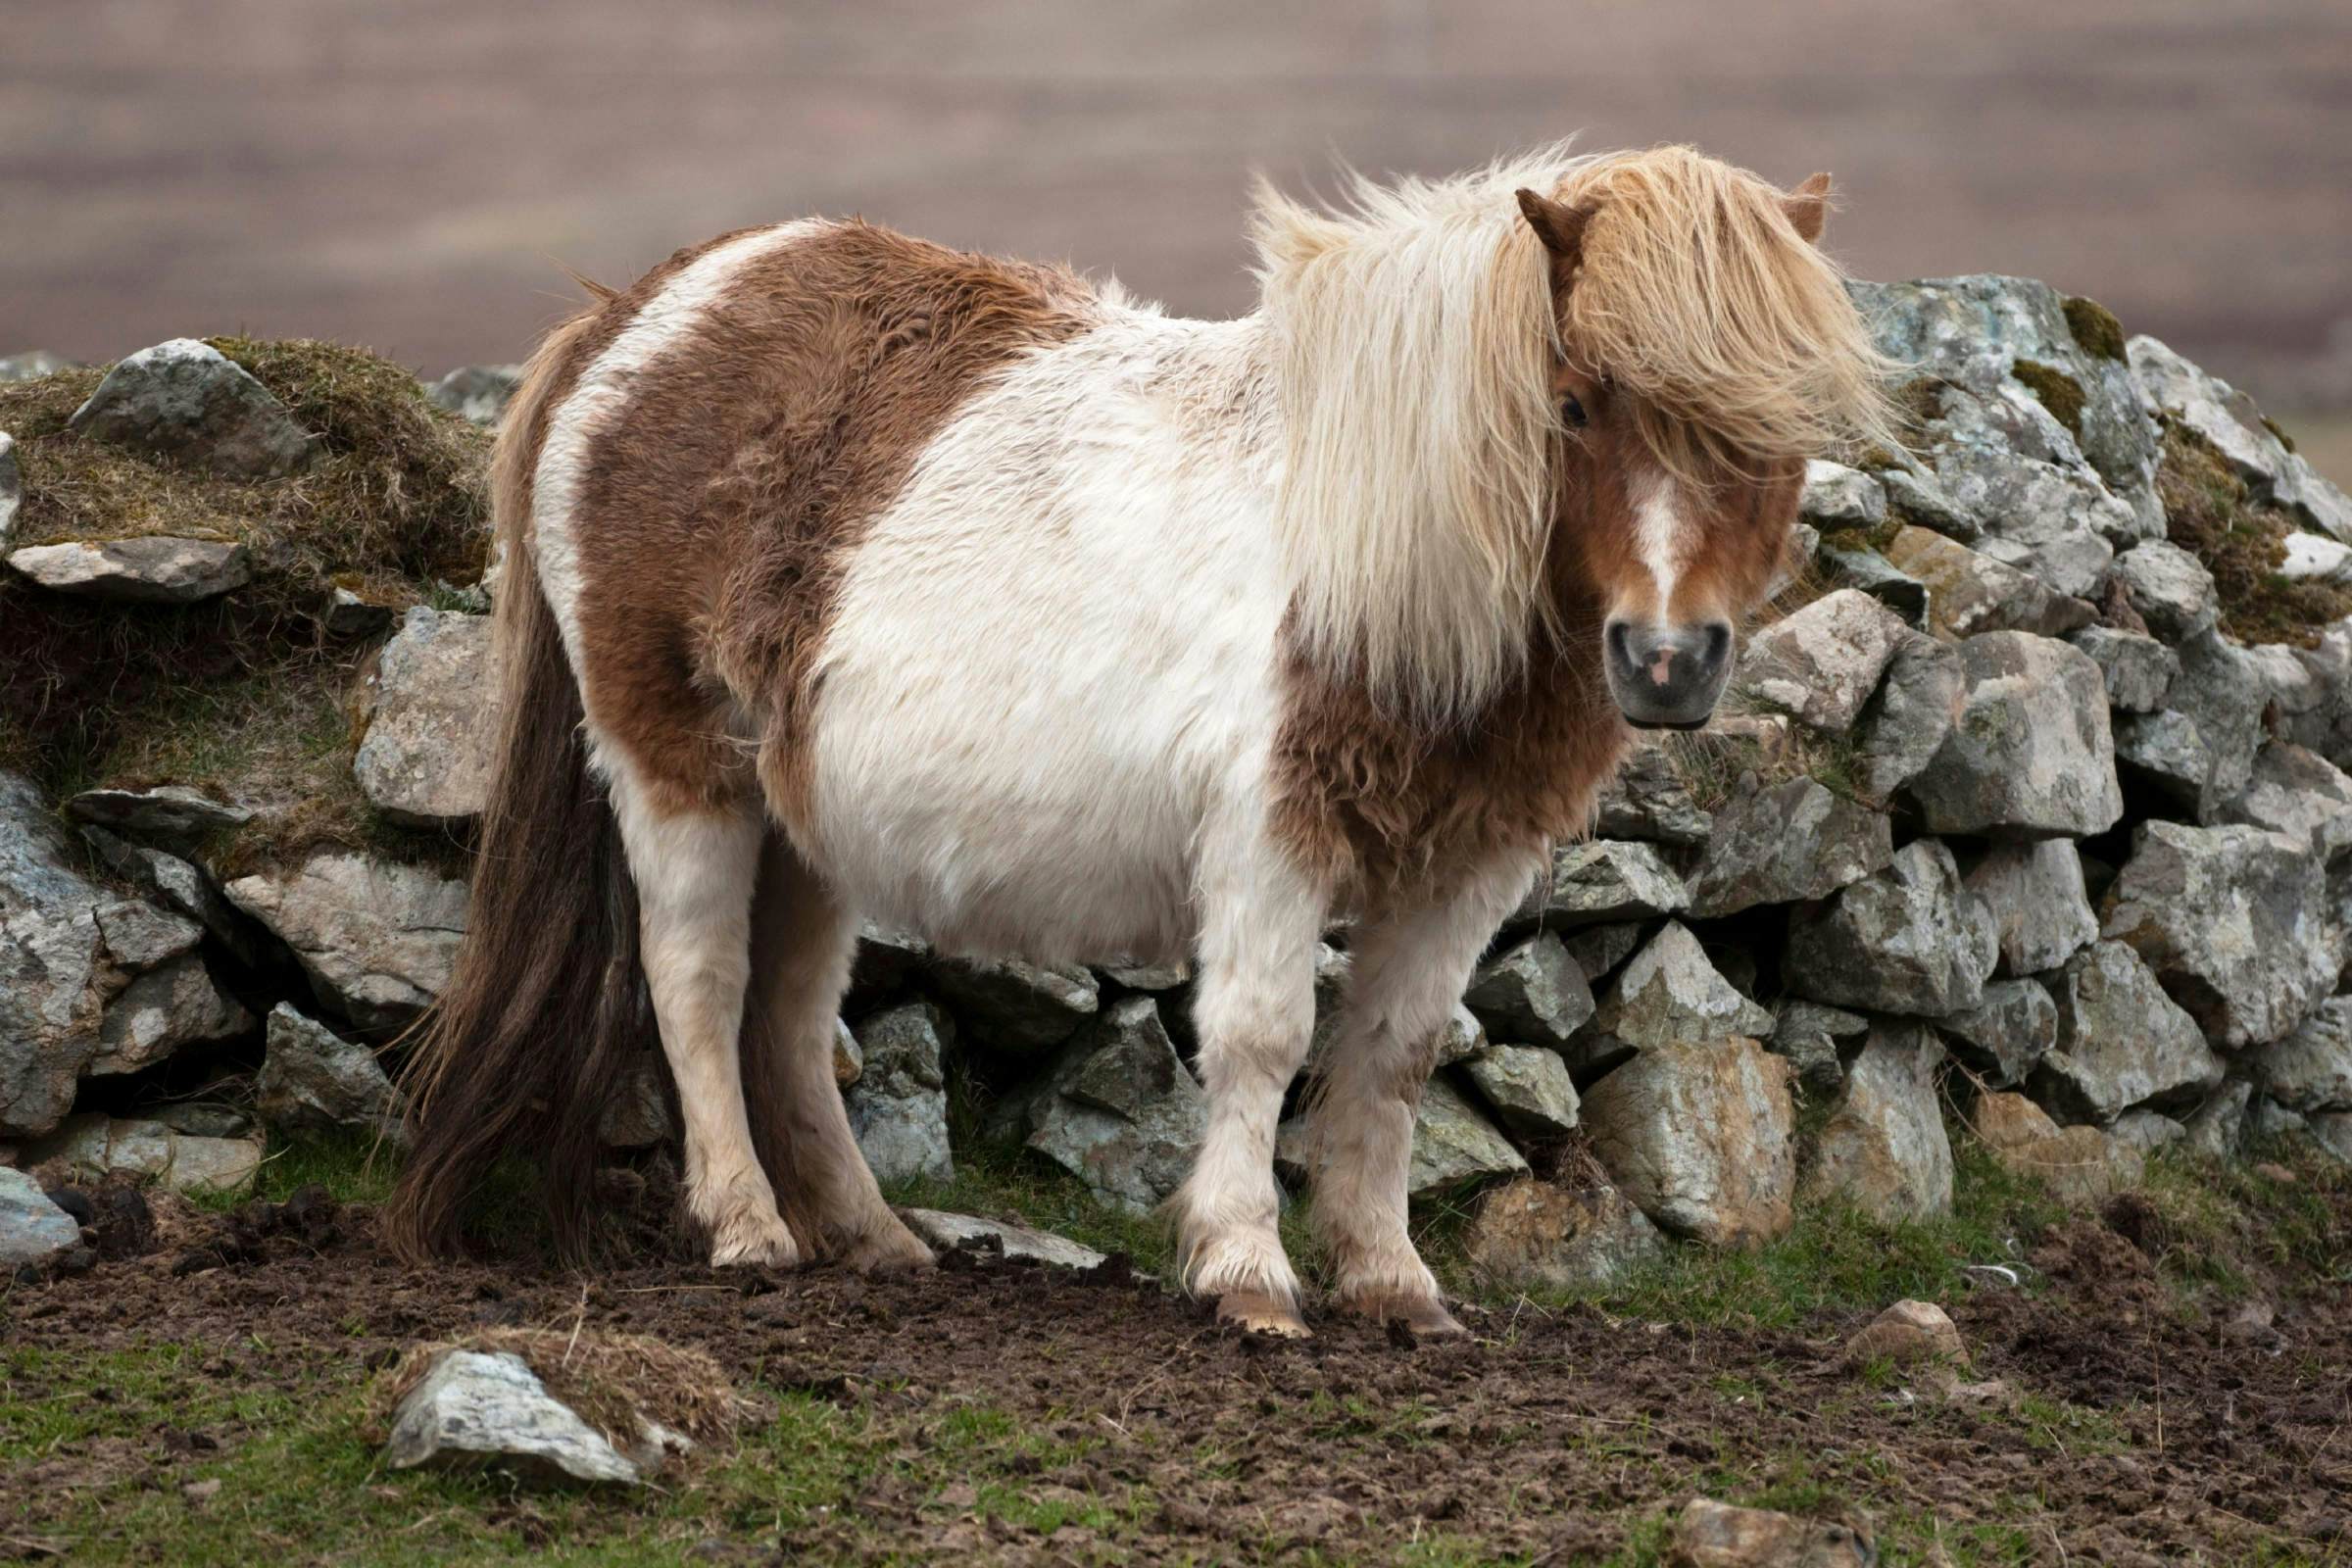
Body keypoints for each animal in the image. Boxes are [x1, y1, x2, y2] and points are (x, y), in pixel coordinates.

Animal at [385, 143, 1890, 1335]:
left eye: (1777, 427)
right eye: (1575, 404)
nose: (1667, 661)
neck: (1375, 548)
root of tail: (641, 317)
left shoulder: (1467, 863)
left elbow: (1396, 1054)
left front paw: (1392, 1284)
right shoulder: (1272, 836)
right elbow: (1265, 1038)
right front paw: (1247, 1273)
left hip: (805, 820)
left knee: (790, 1019)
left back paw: (871, 1240)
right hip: (677, 771)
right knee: (697, 984)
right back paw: (747, 1228)